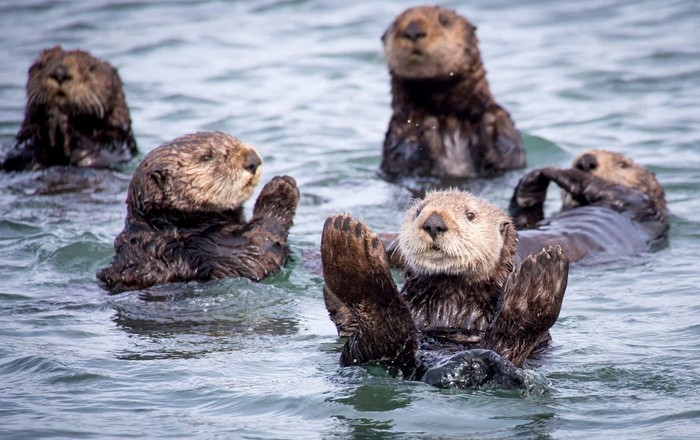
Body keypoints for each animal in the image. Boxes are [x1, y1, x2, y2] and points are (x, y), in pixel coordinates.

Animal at [1, 46, 137, 171]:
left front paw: (63, 123)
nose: (60, 73)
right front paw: (52, 119)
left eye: (91, 67)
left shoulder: (116, 142)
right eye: (41, 65)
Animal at [321, 191, 568, 389]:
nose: (433, 222)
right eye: (419, 211)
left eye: (470, 215)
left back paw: (538, 280)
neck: (449, 304)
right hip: (360, 353)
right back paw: (348, 248)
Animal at [380, 6, 525, 180]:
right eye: (395, 24)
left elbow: (513, 154)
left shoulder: (502, 116)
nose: (413, 30)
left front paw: (489, 126)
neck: (446, 112)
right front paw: (430, 129)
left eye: (444, 20)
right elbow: (400, 158)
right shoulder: (398, 129)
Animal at [509, 149, 669, 263]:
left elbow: (594, 184)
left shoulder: (632, 199)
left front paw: (551, 170)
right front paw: (532, 180)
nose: (586, 161)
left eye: (622, 165)